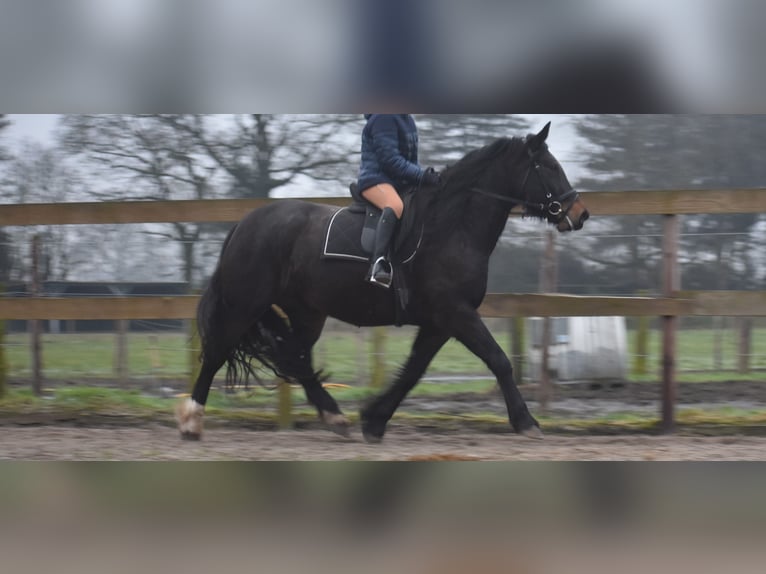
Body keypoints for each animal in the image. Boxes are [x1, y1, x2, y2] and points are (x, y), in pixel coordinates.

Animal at [177, 124, 592, 444]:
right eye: (548, 166)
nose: (580, 213)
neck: (452, 227)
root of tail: (245, 223)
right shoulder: (456, 313)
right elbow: (499, 360)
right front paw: (526, 422)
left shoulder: (439, 321)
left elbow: (412, 371)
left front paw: (374, 419)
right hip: (244, 304)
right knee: (218, 352)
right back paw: (192, 421)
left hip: (306, 312)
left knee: (296, 357)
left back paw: (335, 416)